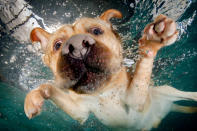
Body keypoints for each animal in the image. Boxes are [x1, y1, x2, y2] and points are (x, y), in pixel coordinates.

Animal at [24, 9, 197, 130]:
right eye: (57, 45)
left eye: (96, 31)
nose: (78, 46)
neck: (103, 91)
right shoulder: (80, 112)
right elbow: (46, 86)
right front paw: (33, 97)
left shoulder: (135, 99)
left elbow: (142, 68)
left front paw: (152, 40)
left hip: (165, 90)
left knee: (185, 94)